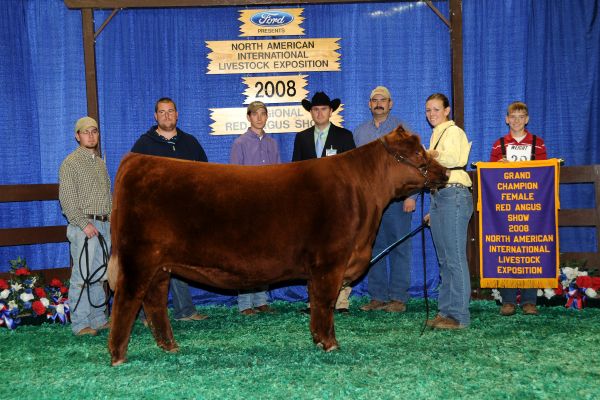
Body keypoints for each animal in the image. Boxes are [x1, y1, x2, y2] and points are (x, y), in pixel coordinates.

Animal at [106, 127, 446, 366]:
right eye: (419, 153)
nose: (444, 172)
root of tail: (136, 160)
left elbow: (318, 303)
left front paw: (318, 340)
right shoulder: (329, 261)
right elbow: (325, 303)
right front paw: (330, 344)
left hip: (160, 266)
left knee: (154, 302)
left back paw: (170, 347)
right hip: (138, 259)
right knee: (126, 301)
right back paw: (118, 355)